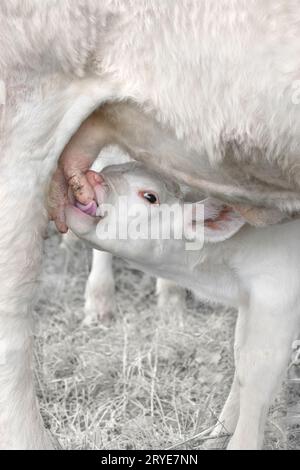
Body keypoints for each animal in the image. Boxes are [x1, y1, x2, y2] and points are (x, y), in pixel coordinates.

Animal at [67, 162, 300, 452]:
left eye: (150, 196)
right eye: (110, 168)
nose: (92, 177)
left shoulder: (278, 293)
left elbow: (257, 376)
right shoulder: (250, 301)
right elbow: (241, 367)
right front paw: (215, 437)